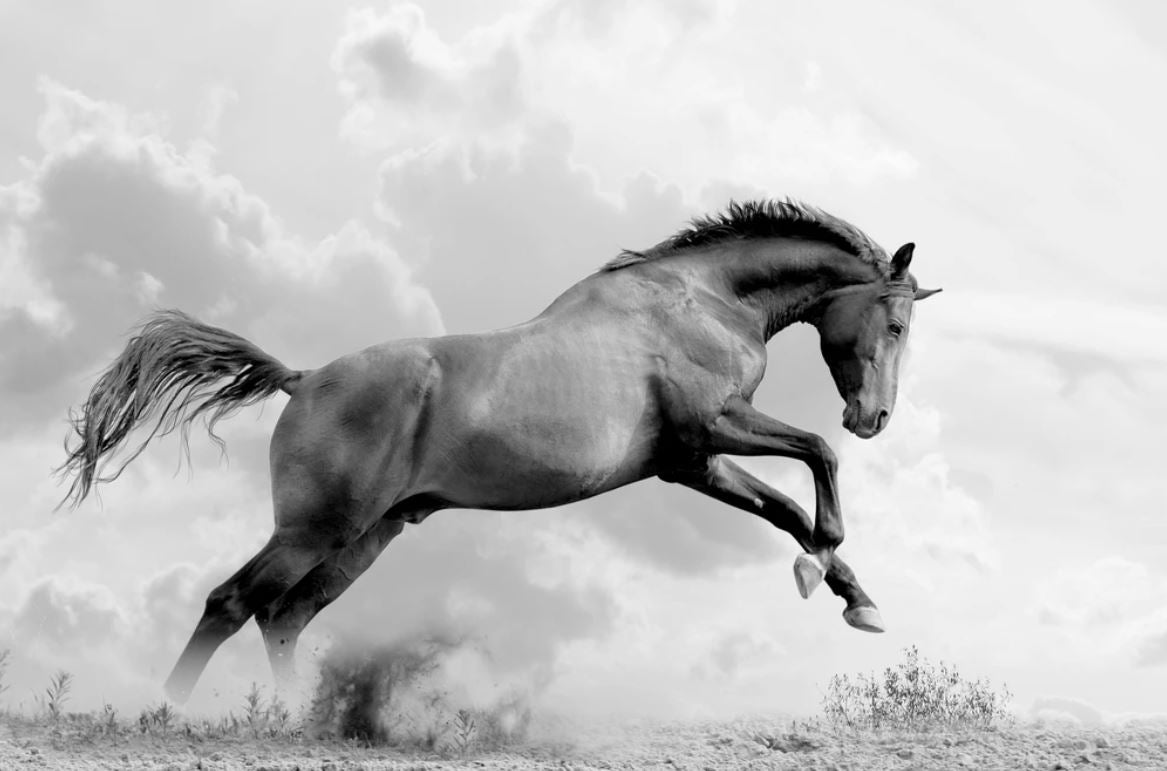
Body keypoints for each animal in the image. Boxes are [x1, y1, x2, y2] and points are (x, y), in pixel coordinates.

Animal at [58, 199, 941, 703]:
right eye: (894, 323)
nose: (874, 416)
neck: (703, 300)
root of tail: (302, 379)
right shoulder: (710, 432)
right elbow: (816, 461)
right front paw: (824, 570)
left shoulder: (689, 462)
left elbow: (790, 504)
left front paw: (852, 596)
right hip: (315, 528)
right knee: (232, 602)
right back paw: (168, 710)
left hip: (368, 535)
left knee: (285, 616)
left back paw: (295, 722)